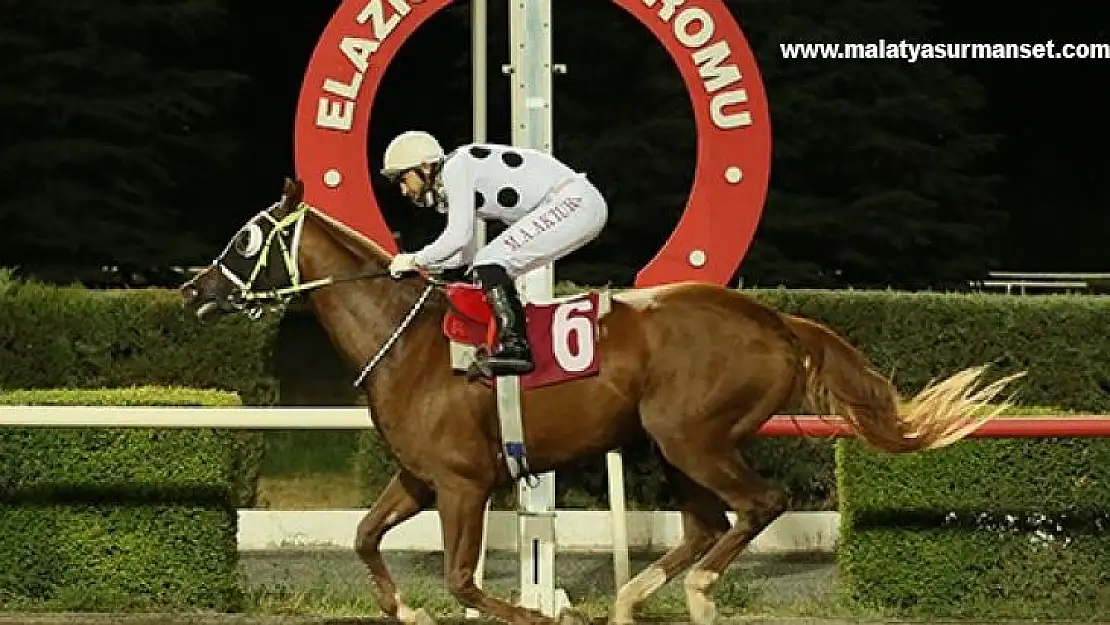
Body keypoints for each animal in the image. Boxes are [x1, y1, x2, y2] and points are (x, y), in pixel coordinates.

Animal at [179, 178, 1021, 621]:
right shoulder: (420, 477)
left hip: (692, 436)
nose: (194, 291)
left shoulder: (463, 483)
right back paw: (637, 594)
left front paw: (529, 610)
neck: (407, 339)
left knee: (759, 504)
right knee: (708, 523)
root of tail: (776, 319)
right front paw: (405, 607)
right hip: (670, 443)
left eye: (246, 238)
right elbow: (361, 536)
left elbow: (463, 580)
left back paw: (697, 589)